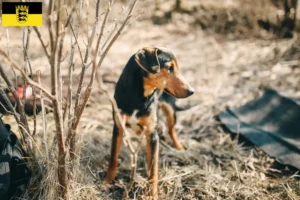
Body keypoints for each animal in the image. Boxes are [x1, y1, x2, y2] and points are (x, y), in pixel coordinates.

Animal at [105, 45, 195, 198]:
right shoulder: (118, 128)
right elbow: (113, 158)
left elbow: (153, 169)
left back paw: (178, 147)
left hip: (170, 110)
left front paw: (152, 195)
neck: (139, 96)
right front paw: (107, 181)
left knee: (171, 130)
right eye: (169, 68)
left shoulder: (152, 134)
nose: (191, 91)